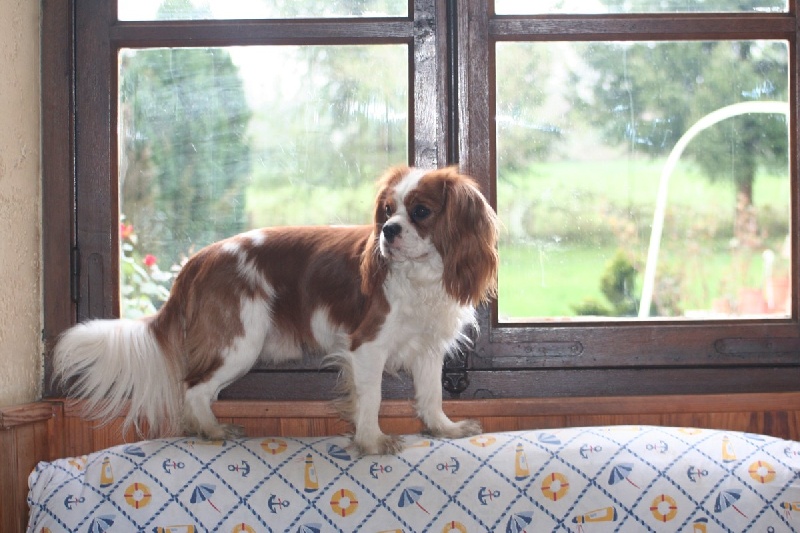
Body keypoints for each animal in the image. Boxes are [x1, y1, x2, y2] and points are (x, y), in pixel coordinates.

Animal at [53, 165, 496, 454]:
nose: (388, 231)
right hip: (240, 343)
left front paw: (444, 428)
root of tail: (200, 258)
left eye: (420, 211)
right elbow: (371, 398)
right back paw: (213, 431)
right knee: (193, 388)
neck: (421, 273)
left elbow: (431, 394)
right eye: (387, 211)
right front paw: (372, 441)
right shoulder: (367, 345)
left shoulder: (428, 348)